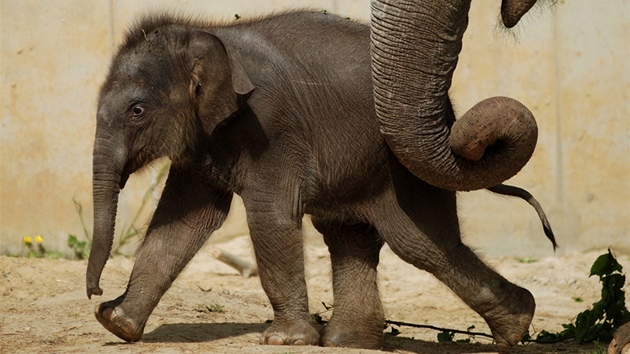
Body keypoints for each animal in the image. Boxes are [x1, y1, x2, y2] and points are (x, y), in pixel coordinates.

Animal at [87, 10, 552, 352]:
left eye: (137, 110)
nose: (96, 293)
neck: (213, 34)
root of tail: (451, 121)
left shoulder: (271, 127)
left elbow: (271, 215)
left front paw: (284, 340)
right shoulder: (201, 141)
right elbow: (183, 221)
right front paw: (118, 325)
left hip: (403, 168)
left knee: (420, 243)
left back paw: (516, 325)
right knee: (349, 234)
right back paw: (349, 341)